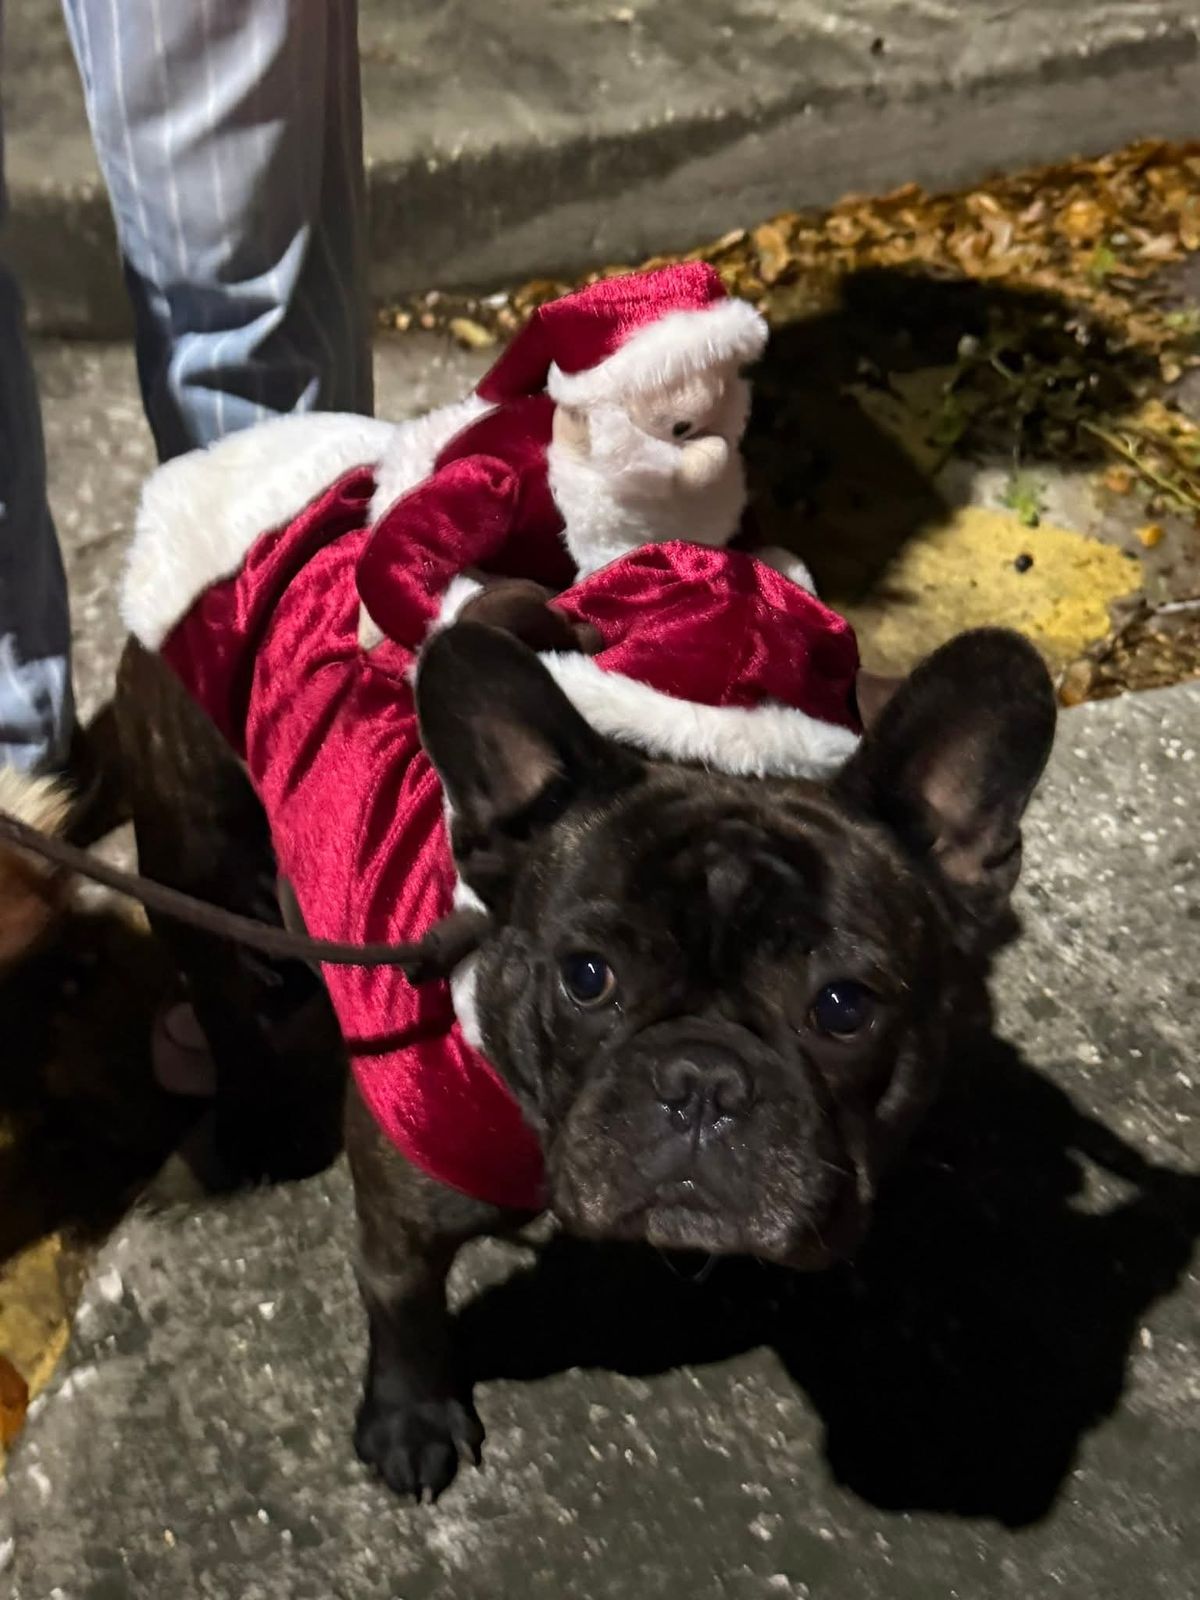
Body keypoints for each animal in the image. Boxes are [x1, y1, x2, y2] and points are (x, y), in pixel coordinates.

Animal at [108, 601, 1055, 1502]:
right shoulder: (403, 1208)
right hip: (189, 841)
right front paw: (410, 1420)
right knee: (218, 991)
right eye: (587, 978)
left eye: (844, 1007)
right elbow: (402, 1303)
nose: (703, 1081)